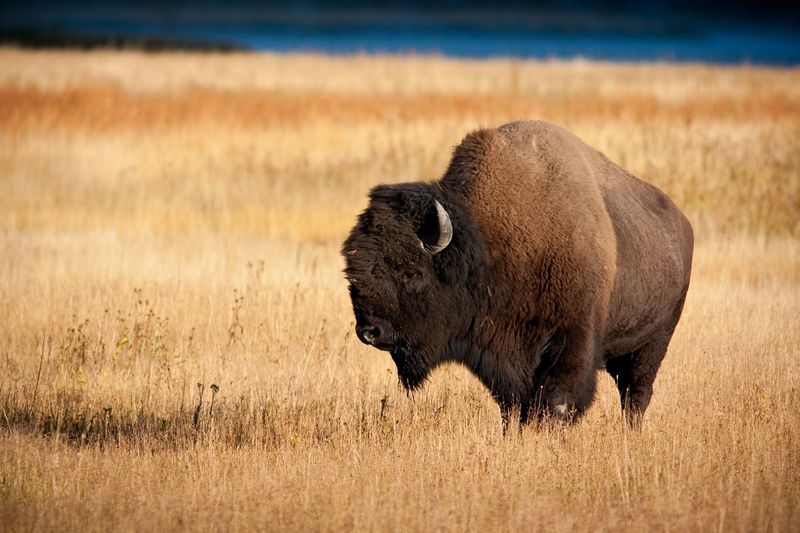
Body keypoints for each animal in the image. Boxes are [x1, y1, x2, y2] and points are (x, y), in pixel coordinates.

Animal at [340, 120, 692, 428]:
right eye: (351, 272)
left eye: (411, 273)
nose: (369, 332)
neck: (489, 243)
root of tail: (682, 223)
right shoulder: (503, 358)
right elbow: (512, 405)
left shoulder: (572, 341)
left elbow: (558, 401)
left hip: (653, 342)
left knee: (636, 394)